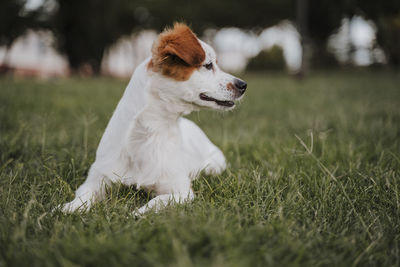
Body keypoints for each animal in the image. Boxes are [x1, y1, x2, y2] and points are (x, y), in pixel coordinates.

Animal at [60, 22, 245, 216]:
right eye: (208, 65)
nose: (243, 85)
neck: (149, 134)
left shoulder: (181, 191)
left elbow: (157, 200)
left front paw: (137, 213)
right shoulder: (97, 179)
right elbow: (85, 195)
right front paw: (70, 207)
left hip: (214, 165)